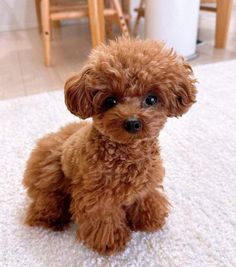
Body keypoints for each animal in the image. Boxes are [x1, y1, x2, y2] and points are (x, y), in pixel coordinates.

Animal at [23, 38, 196, 256]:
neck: (127, 155)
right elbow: (104, 221)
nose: (132, 123)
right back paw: (51, 219)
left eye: (151, 99)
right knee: (45, 200)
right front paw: (111, 243)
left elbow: (147, 201)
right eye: (110, 100)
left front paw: (149, 220)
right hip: (51, 171)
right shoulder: (98, 198)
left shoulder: (146, 186)